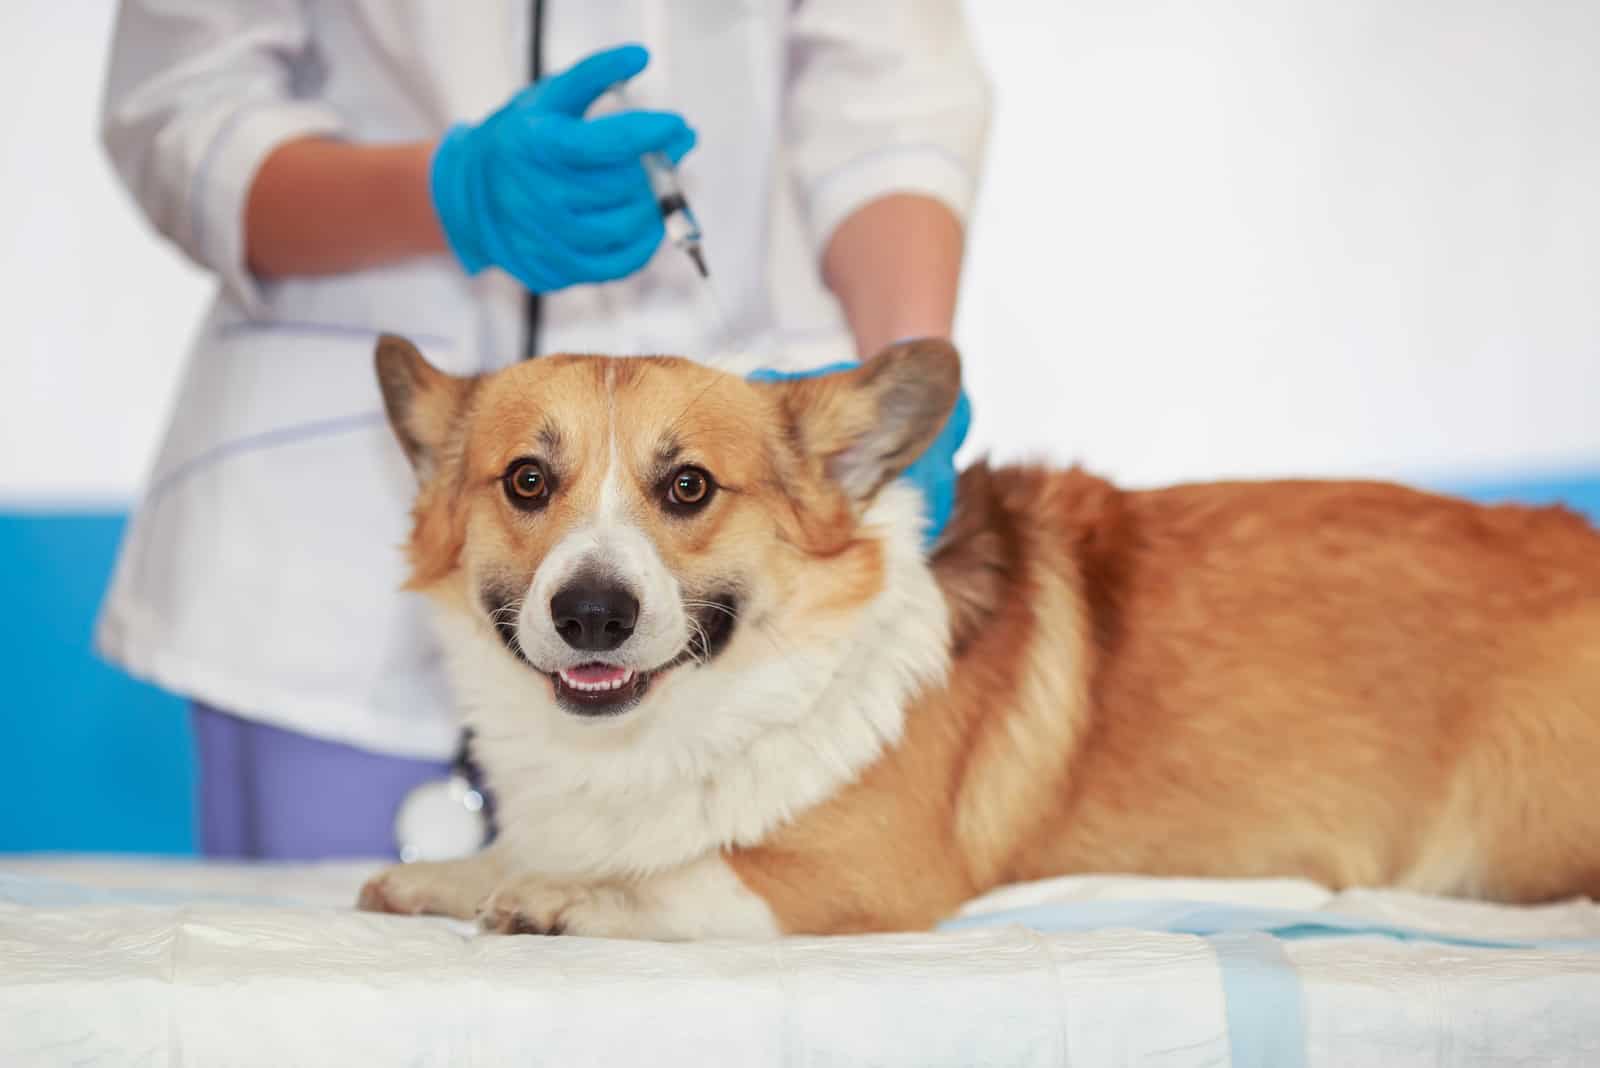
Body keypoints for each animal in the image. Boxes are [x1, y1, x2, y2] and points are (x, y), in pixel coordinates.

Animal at [356, 330, 1600, 933]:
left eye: (689, 488)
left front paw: (561, 900)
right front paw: (450, 878)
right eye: (526, 480)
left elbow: (674, 876)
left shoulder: (853, 882)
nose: (591, 613)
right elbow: (529, 853)